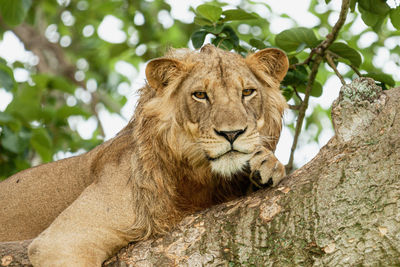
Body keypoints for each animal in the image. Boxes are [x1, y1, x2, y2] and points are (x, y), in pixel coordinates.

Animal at [0, 45, 288, 266]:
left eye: (247, 92)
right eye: (200, 95)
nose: (232, 133)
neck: (199, 180)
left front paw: (268, 165)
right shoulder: (62, 241)